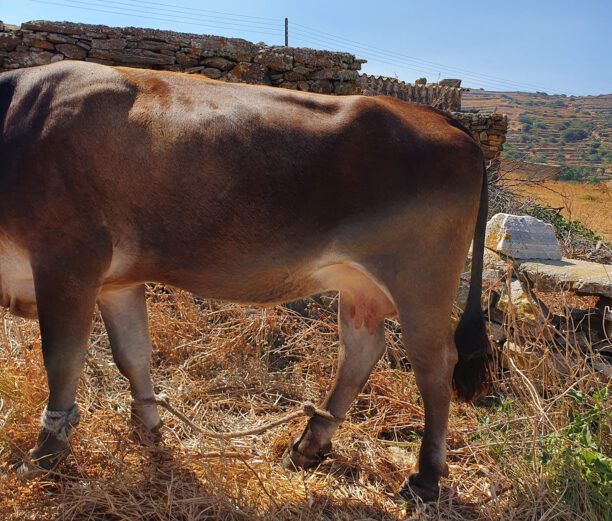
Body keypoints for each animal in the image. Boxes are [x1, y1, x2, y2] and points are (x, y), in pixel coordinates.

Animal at [0, 60, 490, 500]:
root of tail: (437, 116)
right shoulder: (116, 281)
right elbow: (133, 355)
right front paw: (149, 430)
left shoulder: (69, 259)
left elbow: (63, 362)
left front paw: (45, 457)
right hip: (359, 286)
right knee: (362, 350)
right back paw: (306, 446)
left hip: (421, 280)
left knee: (434, 364)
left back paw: (425, 478)